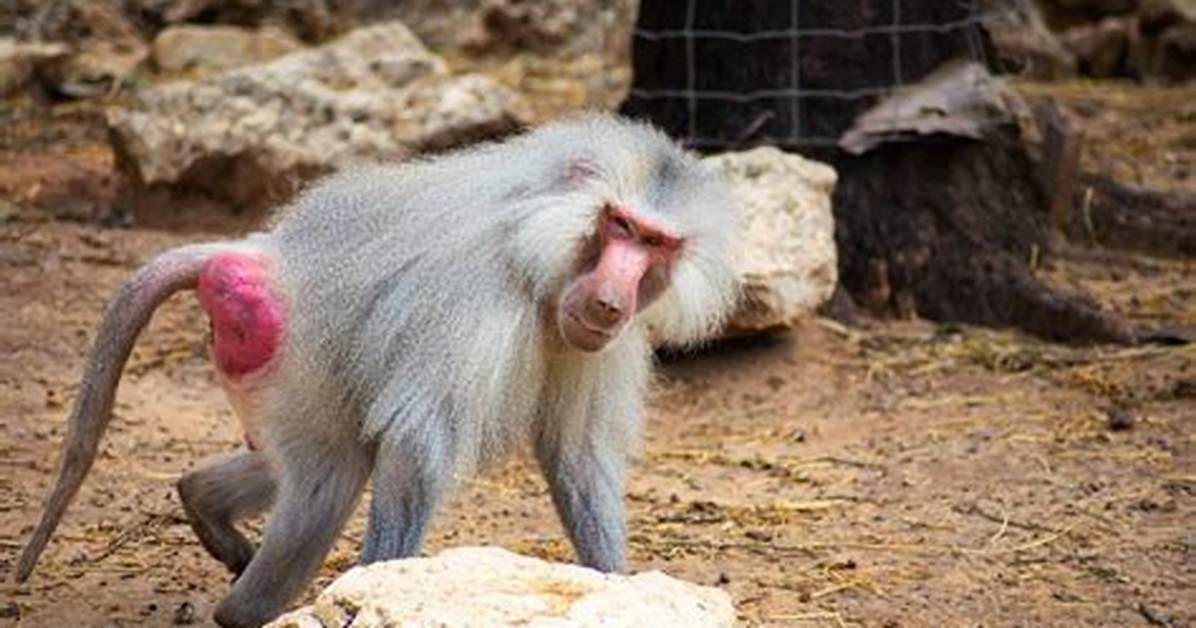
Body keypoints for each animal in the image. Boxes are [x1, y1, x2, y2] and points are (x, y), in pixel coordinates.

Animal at [14, 114, 740, 627]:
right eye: (619, 225)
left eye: (657, 244)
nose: (613, 301)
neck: (537, 252)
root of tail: (258, 253)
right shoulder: (472, 296)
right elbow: (419, 444)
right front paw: (381, 590)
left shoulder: (600, 342)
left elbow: (577, 456)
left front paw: (616, 586)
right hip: (287, 351)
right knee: (329, 477)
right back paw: (241, 612)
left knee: (323, 460)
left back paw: (204, 502)